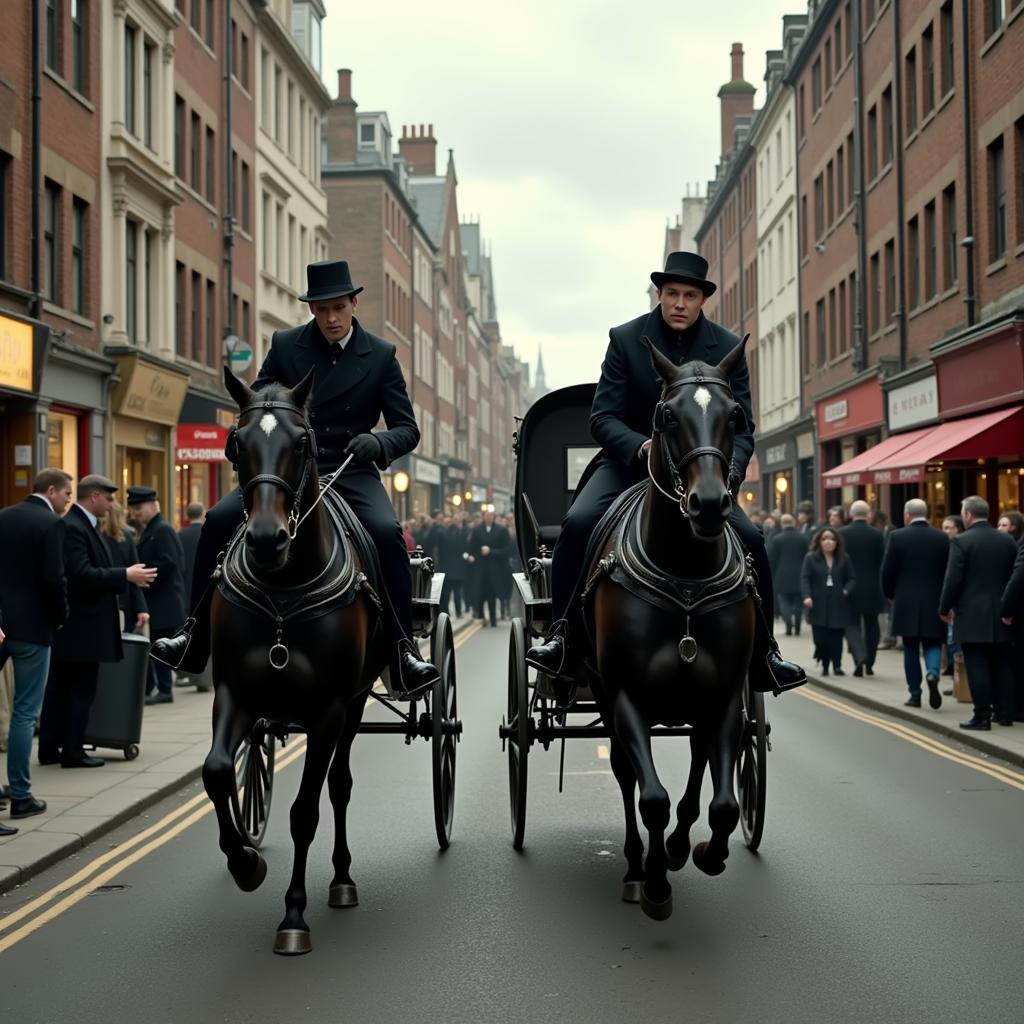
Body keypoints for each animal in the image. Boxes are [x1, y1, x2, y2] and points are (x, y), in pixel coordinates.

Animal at [201, 366, 385, 950]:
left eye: (301, 442)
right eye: (236, 443)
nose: (266, 538)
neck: (283, 587)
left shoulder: (329, 709)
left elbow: (305, 810)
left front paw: (294, 914)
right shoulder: (233, 692)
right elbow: (217, 771)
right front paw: (245, 863)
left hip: (353, 706)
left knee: (339, 786)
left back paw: (343, 879)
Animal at [585, 337, 761, 921]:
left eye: (736, 414)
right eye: (666, 415)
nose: (708, 504)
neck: (684, 570)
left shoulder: (724, 695)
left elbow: (723, 803)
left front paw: (703, 851)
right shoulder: (626, 696)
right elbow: (651, 797)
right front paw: (657, 882)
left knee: (700, 761)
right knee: (624, 774)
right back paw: (637, 866)